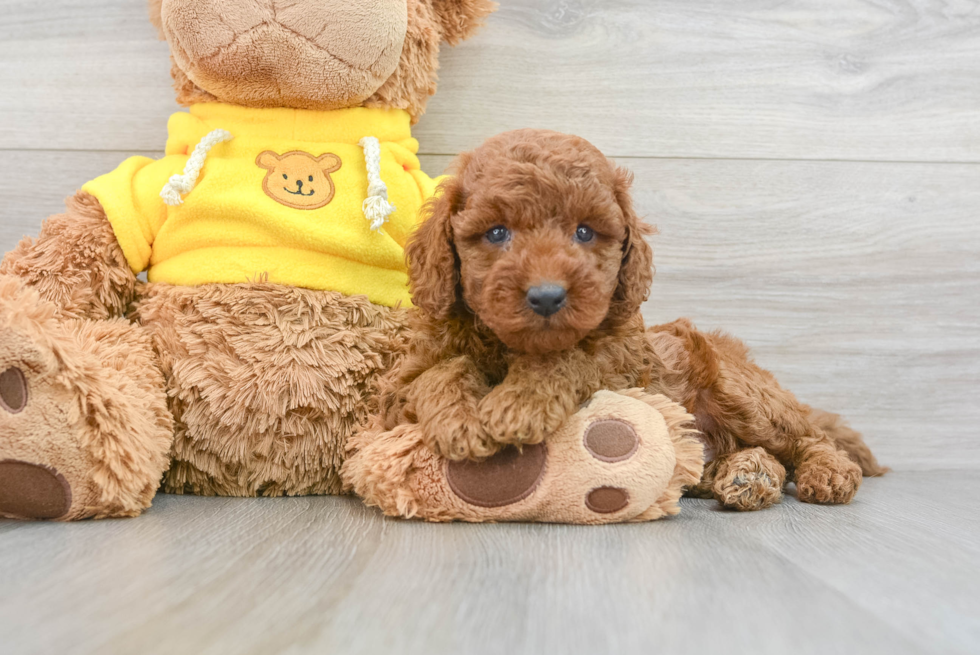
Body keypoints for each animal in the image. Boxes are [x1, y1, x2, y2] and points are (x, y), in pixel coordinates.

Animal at [378, 129, 884, 512]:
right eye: (497, 232)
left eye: (584, 232)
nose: (546, 296)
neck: (511, 345)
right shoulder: (397, 395)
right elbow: (439, 373)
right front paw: (460, 422)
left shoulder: (622, 363)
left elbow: (570, 357)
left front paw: (518, 404)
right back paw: (745, 476)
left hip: (740, 391)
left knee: (809, 437)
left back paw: (826, 471)